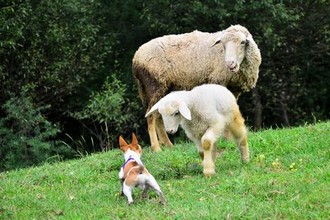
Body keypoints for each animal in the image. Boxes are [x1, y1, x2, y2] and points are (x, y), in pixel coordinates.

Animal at [133, 24, 262, 151]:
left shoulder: (234, 89)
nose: (230, 64)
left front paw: (228, 138)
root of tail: (136, 59)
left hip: (161, 88)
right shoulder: (218, 81)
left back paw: (168, 145)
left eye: (242, 42)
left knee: (159, 114)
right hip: (155, 84)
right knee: (151, 116)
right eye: (223, 44)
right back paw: (156, 148)